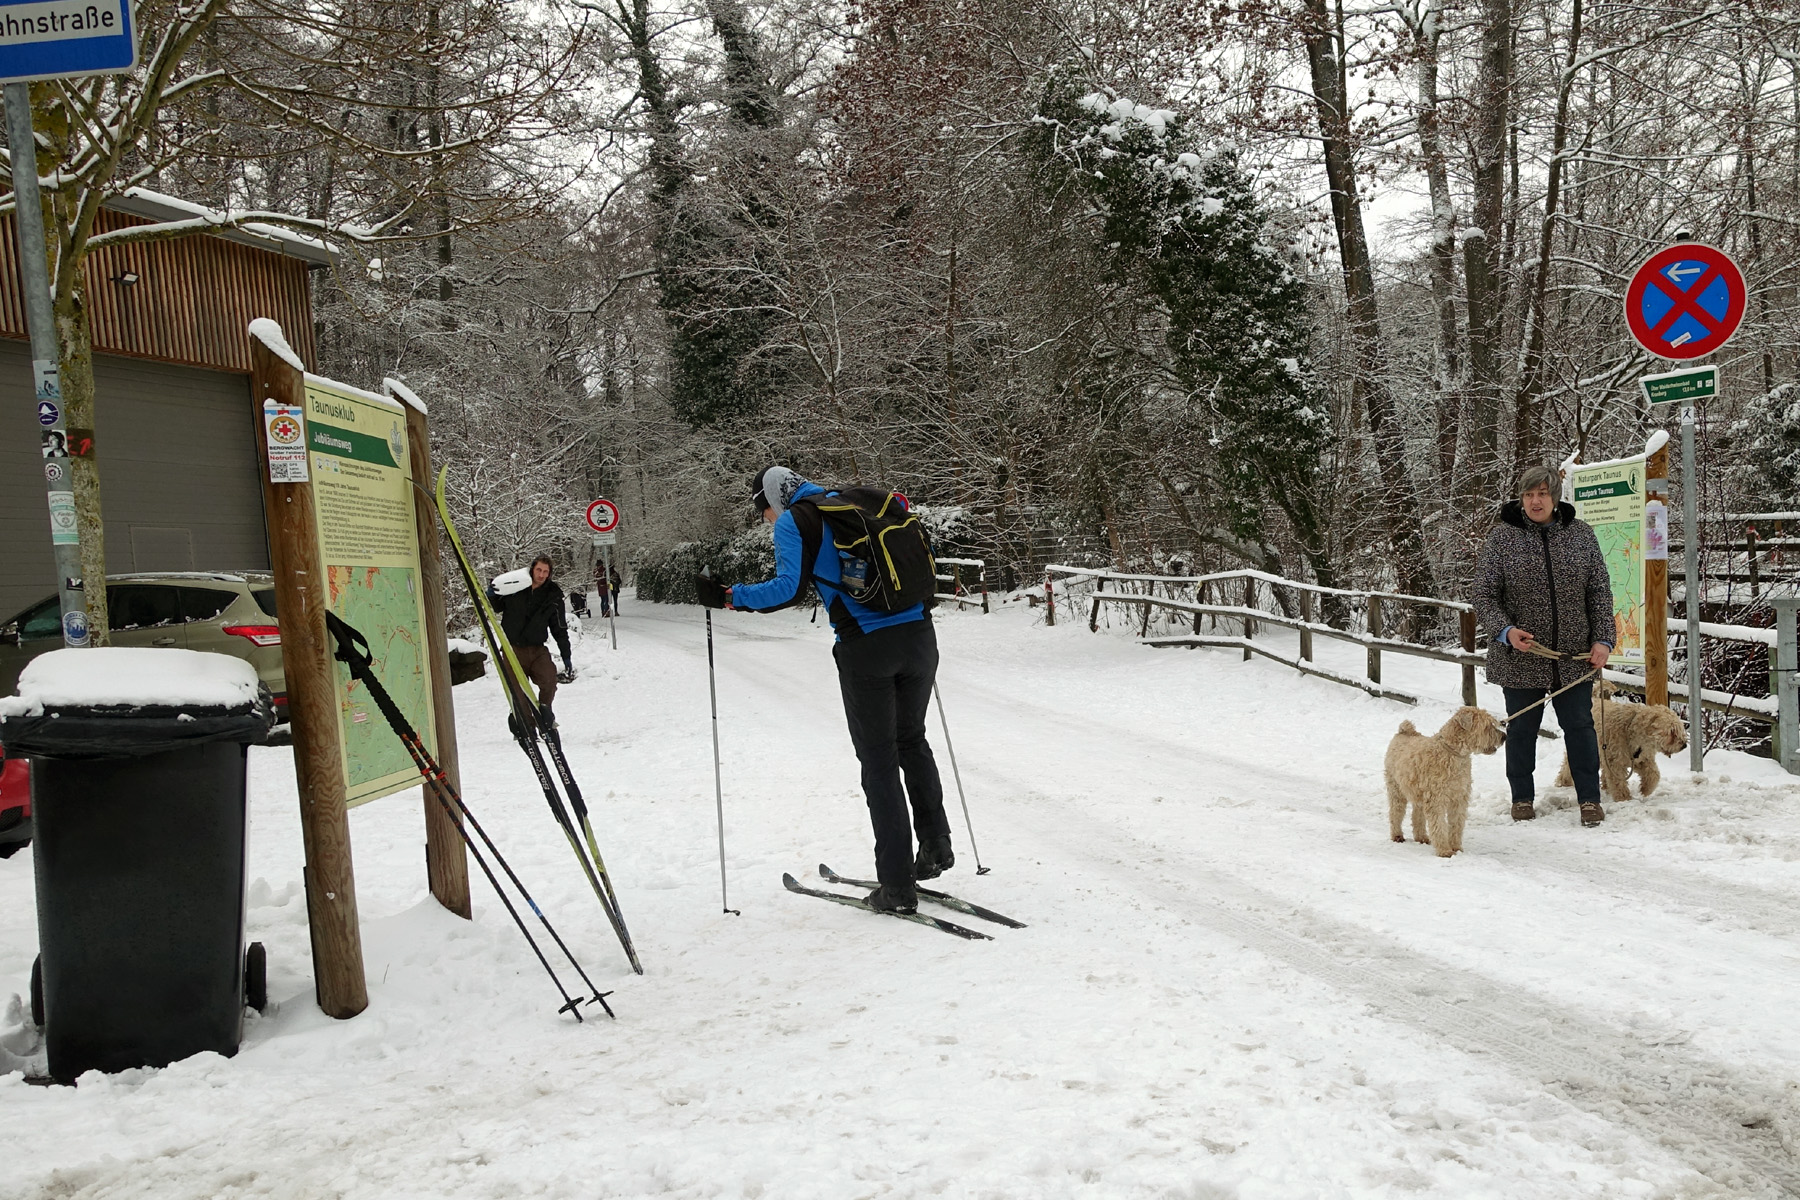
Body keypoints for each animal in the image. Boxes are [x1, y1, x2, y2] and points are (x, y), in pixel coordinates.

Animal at [1389, 708, 1504, 859]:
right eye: (1487, 726)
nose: (1504, 737)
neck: (1454, 754)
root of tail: (1404, 732)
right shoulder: (1436, 798)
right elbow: (1439, 825)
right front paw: (1444, 850)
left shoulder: (1459, 798)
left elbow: (1456, 824)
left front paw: (1456, 847)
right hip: (1396, 789)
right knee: (1395, 813)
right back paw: (1397, 835)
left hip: (1418, 794)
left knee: (1417, 816)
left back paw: (1421, 837)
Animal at [1555, 690, 1692, 802]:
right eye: (1672, 731)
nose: (1684, 745)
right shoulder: (1616, 761)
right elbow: (1618, 781)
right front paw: (1623, 798)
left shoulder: (1641, 759)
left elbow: (1654, 774)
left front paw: (1646, 789)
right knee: (1567, 765)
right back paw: (1564, 781)